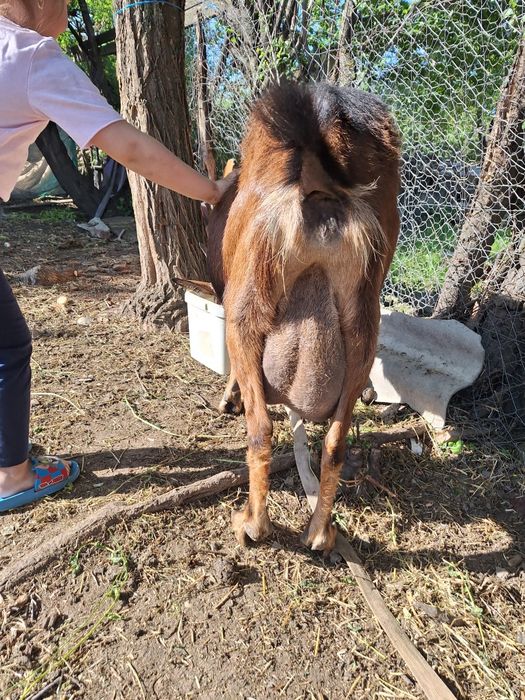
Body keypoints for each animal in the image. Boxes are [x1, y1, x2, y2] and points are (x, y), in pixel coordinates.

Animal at [205, 82, 400, 552]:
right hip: (363, 319)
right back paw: (320, 533)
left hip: (248, 305)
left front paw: (228, 398)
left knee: (260, 432)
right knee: (335, 442)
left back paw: (252, 525)